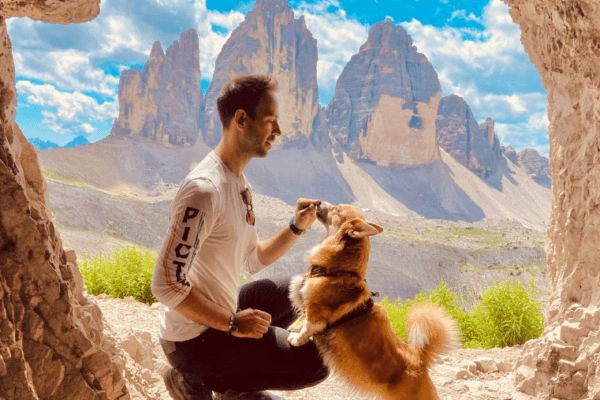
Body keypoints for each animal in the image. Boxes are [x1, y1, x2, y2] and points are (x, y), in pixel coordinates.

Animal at [286, 203, 460, 400]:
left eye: (336, 210)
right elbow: (303, 318)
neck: (337, 270)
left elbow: (308, 325)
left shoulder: (316, 311)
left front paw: (296, 338)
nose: (317, 203)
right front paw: (295, 328)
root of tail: (419, 360)